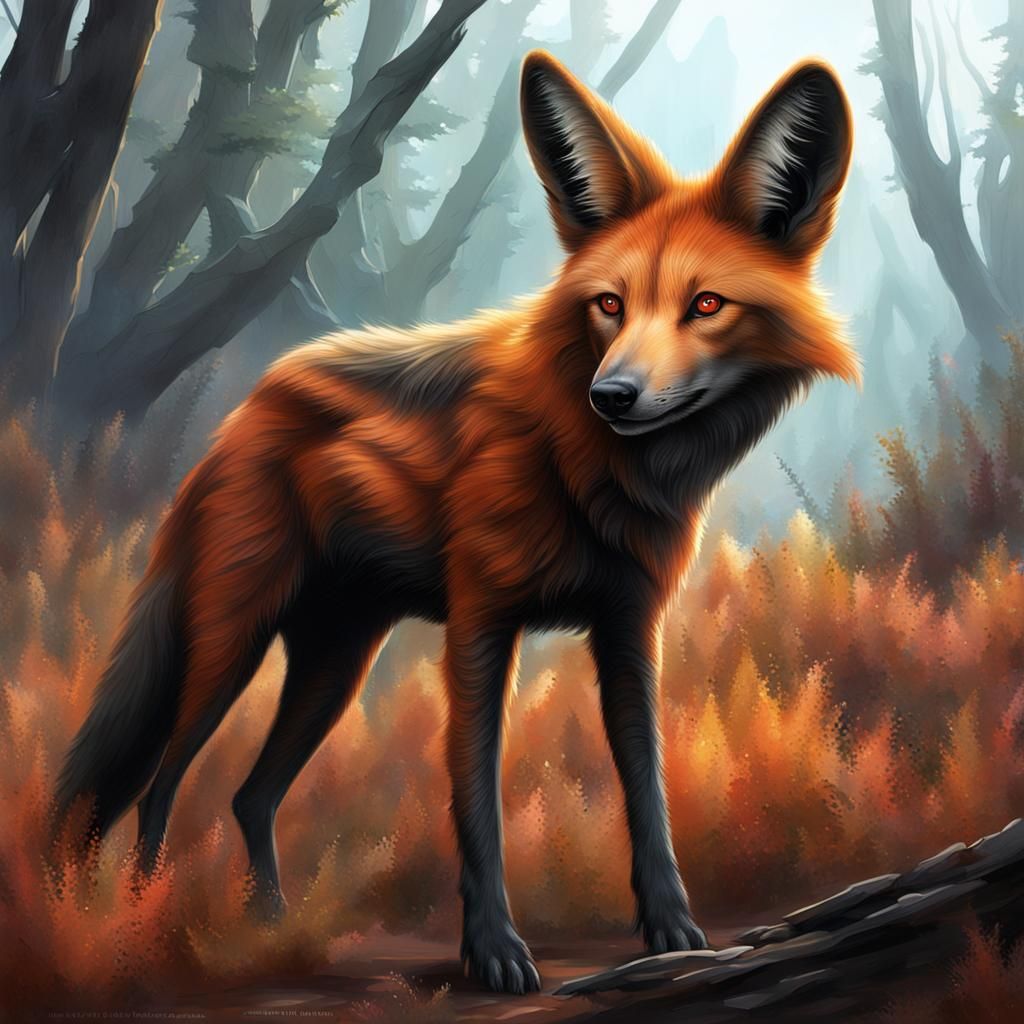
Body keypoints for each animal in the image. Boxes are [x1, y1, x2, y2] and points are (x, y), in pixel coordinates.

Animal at [56, 50, 858, 994]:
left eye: (705, 305)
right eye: (610, 306)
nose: (613, 395)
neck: (588, 471)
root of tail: (254, 400)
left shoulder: (629, 630)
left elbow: (647, 790)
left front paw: (671, 929)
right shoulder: (481, 624)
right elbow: (476, 805)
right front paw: (494, 952)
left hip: (334, 669)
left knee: (248, 796)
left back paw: (271, 927)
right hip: (231, 649)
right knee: (159, 784)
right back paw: (153, 931)